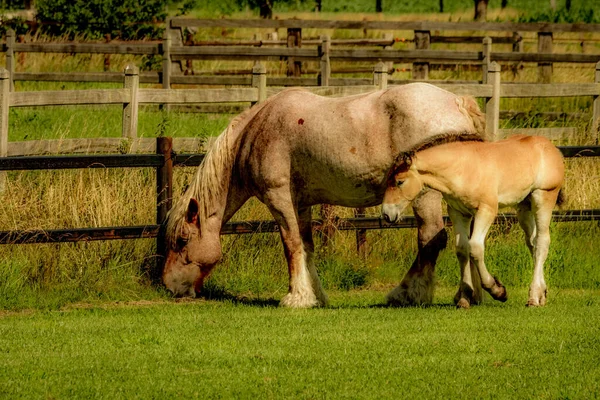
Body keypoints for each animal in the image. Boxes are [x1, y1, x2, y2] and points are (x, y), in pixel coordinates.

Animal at [161, 83, 488, 310]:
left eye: (182, 241)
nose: (169, 286)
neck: (257, 131)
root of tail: (457, 102)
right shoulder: (301, 205)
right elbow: (307, 247)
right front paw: (314, 296)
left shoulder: (279, 199)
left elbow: (291, 245)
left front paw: (295, 298)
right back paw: (469, 295)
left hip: (426, 196)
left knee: (431, 237)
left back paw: (407, 294)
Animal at [382, 135, 564, 310]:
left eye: (400, 181)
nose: (386, 214)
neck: (462, 169)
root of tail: (550, 147)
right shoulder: (458, 213)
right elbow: (462, 249)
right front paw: (464, 298)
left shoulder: (486, 210)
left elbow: (475, 248)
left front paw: (498, 290)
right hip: (523, 206)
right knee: (532, 243)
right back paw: (541, 295)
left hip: (543, 197)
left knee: (542, 241)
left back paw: (533, 298)